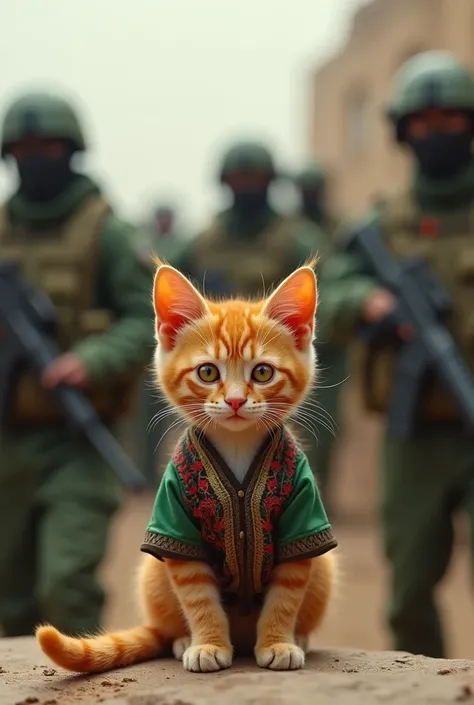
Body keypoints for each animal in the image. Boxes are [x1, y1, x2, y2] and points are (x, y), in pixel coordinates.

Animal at [36, 258, 336, 672]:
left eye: (262, 372)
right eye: (208, 372)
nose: (236, 401)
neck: (236, 445)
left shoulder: (302, 517)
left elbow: (286, 594)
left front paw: (278, 642)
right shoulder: (175, 521)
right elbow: (197, 597)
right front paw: (208, 644)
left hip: (325, 568)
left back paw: (297, 637)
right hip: (152, 573)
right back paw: (181, 639)